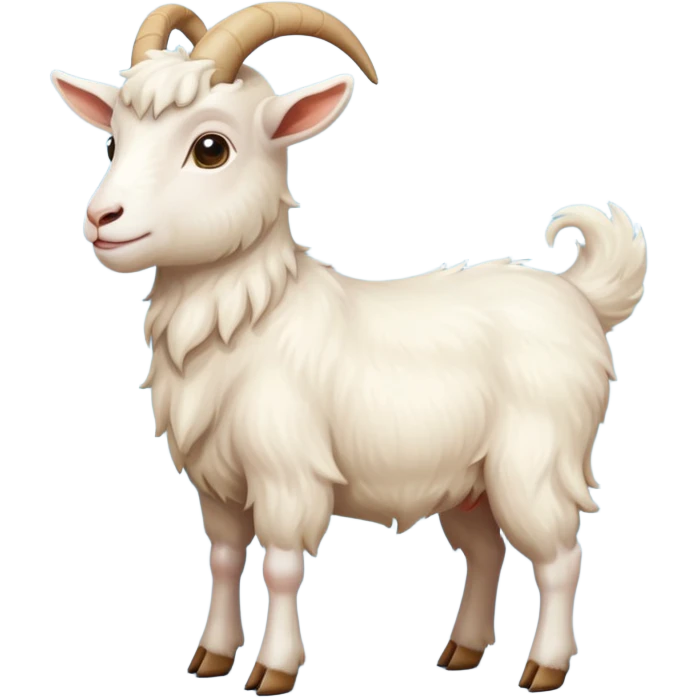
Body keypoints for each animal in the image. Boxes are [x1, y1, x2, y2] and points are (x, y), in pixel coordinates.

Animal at [50, 2, 648, 694]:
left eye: (210, 148)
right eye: (113, 140)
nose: (102, 219)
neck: (252, 317)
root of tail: (579, 295)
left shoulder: (288, 473)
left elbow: (281, 564)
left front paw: (274, 671)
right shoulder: (217, 484)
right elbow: (224, 558)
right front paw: (212, 657)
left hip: (534, 462)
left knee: (559, 556)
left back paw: (544, 668)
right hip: (468, 481)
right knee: (486, 551)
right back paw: (462, 651)